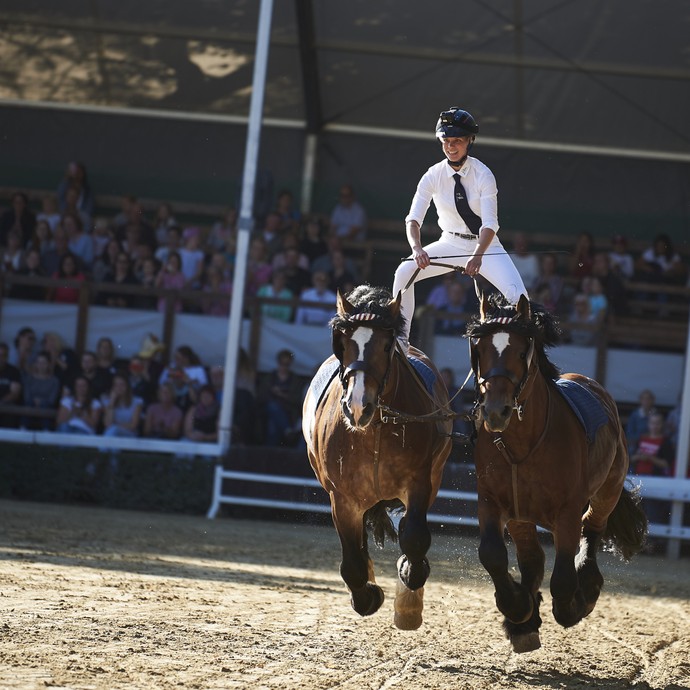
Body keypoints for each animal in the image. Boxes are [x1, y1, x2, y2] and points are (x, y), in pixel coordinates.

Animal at [300, 282, 452, 628]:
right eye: (343, 343)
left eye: (385, 346)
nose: (358, 406)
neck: (375, 429)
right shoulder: (342, 498)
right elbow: (353, 561)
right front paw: (366, 595)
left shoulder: (419, 483)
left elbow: (415, 537)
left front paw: (410, 582)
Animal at [464, 292, 648, 652]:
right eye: (479, 349)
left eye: (521, 350)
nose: (495, 411)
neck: (526, 442)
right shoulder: (493, 502)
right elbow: (492, 554)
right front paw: (517, 609)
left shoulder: (566, 512)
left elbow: (563, 577)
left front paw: (571, 606)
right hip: (522, 515)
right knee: (532, 557)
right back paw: (526, 620)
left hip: (608, 489)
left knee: (592, 529)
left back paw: (587, 587)